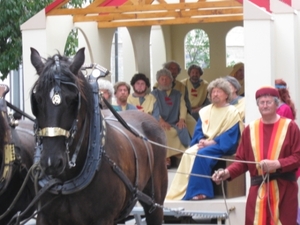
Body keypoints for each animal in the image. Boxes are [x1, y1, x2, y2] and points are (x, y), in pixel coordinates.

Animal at [30, 46, 169, 224]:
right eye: (37, 99)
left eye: (73, 99)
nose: (51, 161)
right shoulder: (45, 216)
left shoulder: (103, 218)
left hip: (155, 204)